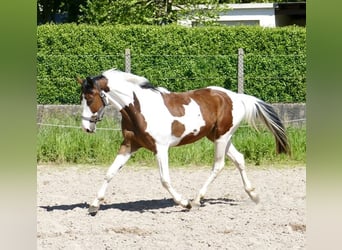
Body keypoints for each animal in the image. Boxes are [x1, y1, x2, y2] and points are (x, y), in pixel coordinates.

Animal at [77, 68, 288, 215]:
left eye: (89, 97)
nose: (86, 127)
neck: (139, 108)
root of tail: (237, 97)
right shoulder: (129, 145)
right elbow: (110, 173)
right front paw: (94, 206)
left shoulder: (161, 149)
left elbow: (165, 179)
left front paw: (184, 203)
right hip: (218, 137)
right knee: (239, 159)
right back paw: (254, 195)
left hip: (222, 137)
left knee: (218, 166)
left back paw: (195, 200)